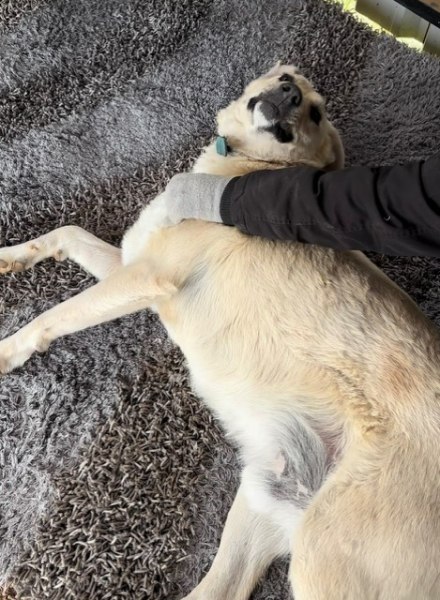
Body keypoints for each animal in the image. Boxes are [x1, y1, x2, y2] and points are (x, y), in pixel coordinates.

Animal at [0, 64, 439, 599]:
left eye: (316, 114)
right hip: (268, 497)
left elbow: (52, 316)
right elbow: (66, 233)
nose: (289, 93)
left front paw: (6, 351)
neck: (241, 170)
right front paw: (10, 257)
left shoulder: (146, 278)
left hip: (325, 556)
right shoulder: (131, 265)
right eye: (287, 75)